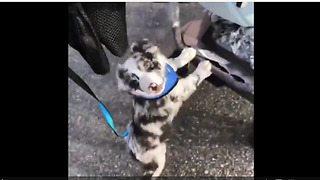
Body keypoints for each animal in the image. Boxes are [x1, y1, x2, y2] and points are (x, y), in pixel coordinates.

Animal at [115, 39, 212, 177]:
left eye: (148, 65)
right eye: (135, 82)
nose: (151, 87)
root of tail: (132, 153)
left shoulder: (170, 68)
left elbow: (173, 61)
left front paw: (188, 53)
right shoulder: (180, 90)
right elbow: (193, 78)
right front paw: (204, 67)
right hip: (158, 156)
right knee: (155, 170)